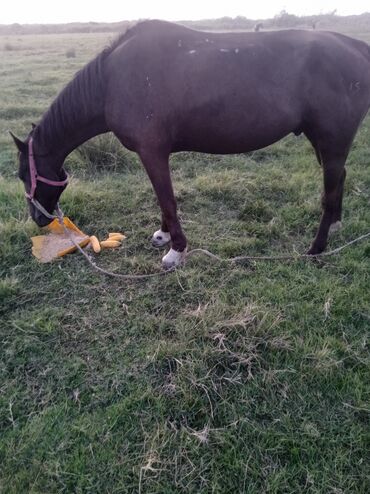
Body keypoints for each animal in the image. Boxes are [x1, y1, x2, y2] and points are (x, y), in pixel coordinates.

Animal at [10, 19, 370, 268]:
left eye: (22, 175)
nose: (39, 218)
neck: (112, 80)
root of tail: (356, 47)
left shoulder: (152, 152)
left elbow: (166, 198)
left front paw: (176, 250)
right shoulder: (154, 154)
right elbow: (162, 198)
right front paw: (164, 235)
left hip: (332, 140)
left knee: (330, 190)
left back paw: (316, 248)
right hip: (321, 141)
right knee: (339, 179)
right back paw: (335, 227)